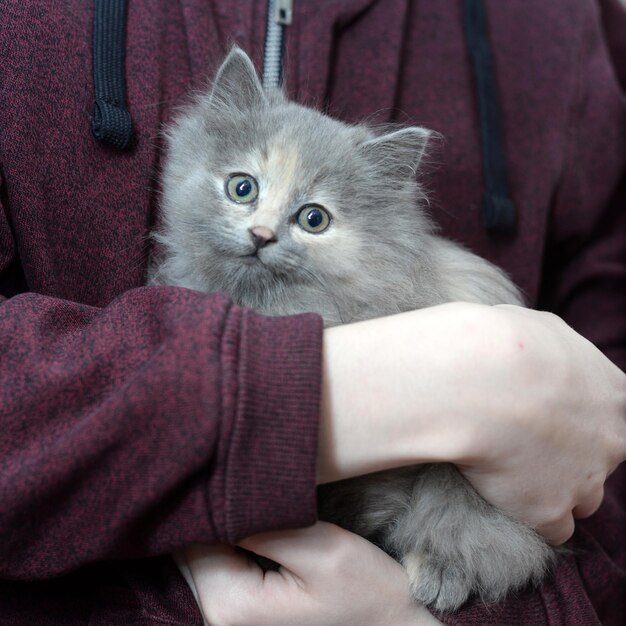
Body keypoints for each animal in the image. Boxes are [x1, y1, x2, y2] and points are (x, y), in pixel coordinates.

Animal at [149, 47, 552, 608]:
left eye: (313, 219)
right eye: (242, 187)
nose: (261, 234)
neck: (261, 304)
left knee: (484, 537)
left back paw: (440, 572)